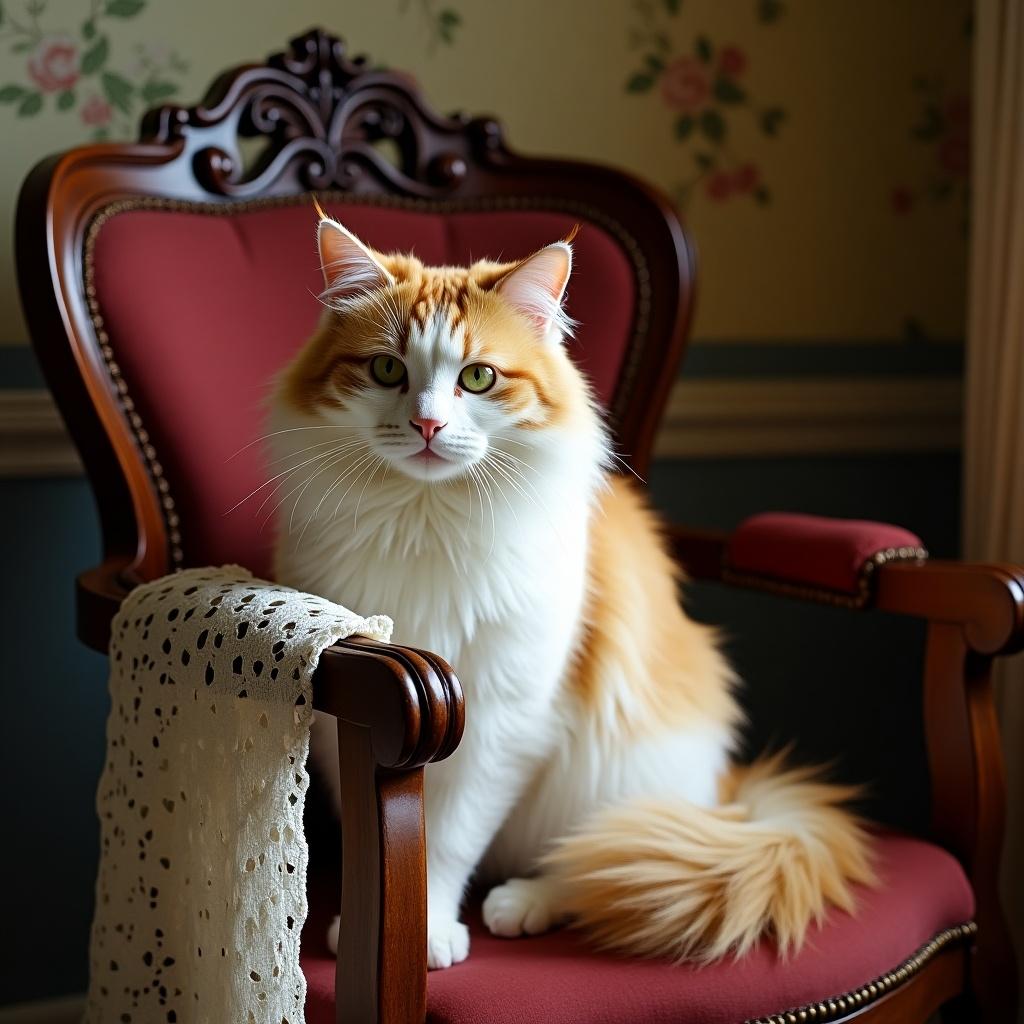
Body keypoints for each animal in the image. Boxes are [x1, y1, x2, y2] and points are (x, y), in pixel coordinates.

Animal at [266, 209, 872, 966]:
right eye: (386, 369)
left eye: (478, 377)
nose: (428, 424)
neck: (425, 518)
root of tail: (725, 789)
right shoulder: (363, 708)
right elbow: (379, 838)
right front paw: (372, 925)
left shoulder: (500, 715)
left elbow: (450, 837)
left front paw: (426, 929)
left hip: (615, 777)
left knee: (606, 857)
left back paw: (524, 902)